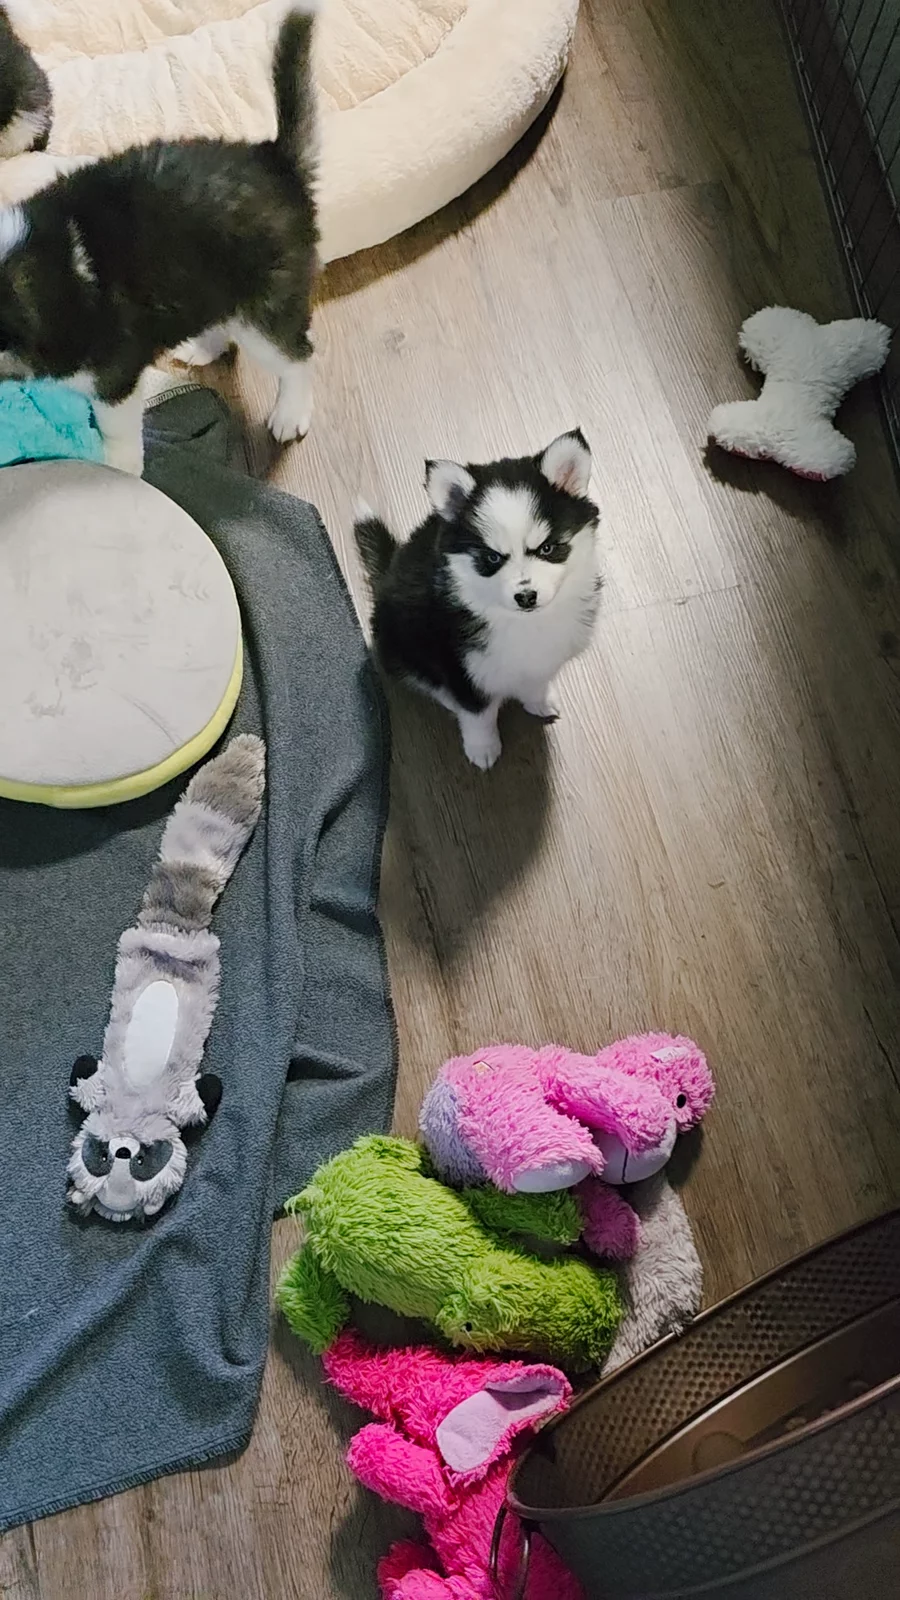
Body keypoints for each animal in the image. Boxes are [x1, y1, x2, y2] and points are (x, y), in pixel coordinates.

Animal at [355, 431, 601, 770]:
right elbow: (478, 713)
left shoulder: (544, 658)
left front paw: (538, 700)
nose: (526, 596)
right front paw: (483, 748)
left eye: (548, 548)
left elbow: (535, 681)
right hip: (401, 642)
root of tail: (389, 568)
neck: (525, 625)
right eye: (493, 558)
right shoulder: (458, 667)